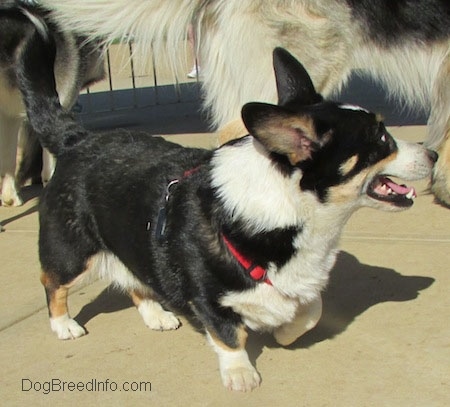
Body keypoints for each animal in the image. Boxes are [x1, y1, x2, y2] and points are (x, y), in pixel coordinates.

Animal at [17, 27, 436, 390]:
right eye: (381, 138)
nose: (433, 154)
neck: (292, 207)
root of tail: (78, 139)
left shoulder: (298, 286)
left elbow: (310, 310)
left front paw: (285, 332)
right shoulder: (208, 299)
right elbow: (229, 335)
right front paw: (240, 374)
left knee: (136, 280)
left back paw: (156, 315)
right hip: (73, 254)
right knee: (52, 282)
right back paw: (63, 325)